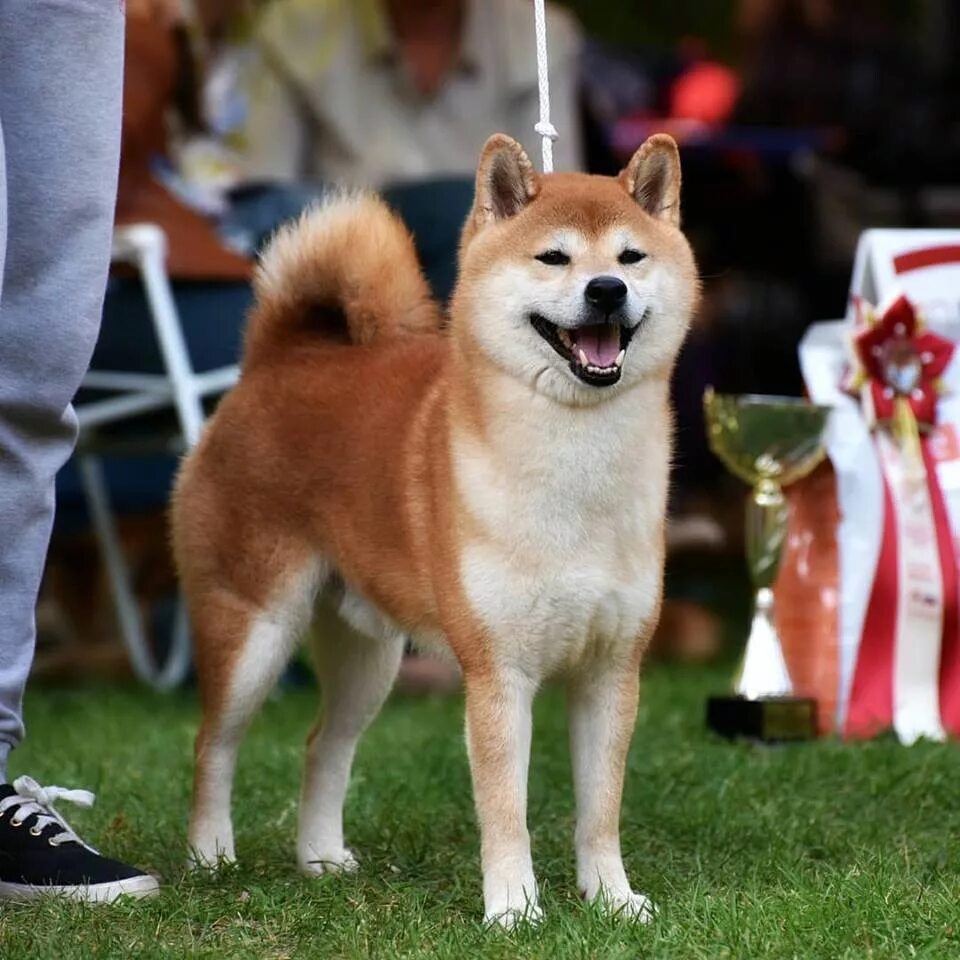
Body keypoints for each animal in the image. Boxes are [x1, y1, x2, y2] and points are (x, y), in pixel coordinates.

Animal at [171, 131, 696, 928]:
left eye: (631, 257)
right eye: (554, 258)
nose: (607, 290)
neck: (573, 468)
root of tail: (280, 360)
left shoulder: (612, 669)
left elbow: (600, 810)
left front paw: (613, 900)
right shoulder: (497, 674)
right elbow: (506, 810)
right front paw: (514, 910)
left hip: (369, 655)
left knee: (323, 745)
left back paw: (320, 859)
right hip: (253, 631)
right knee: (212, 744)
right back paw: (209, 856)